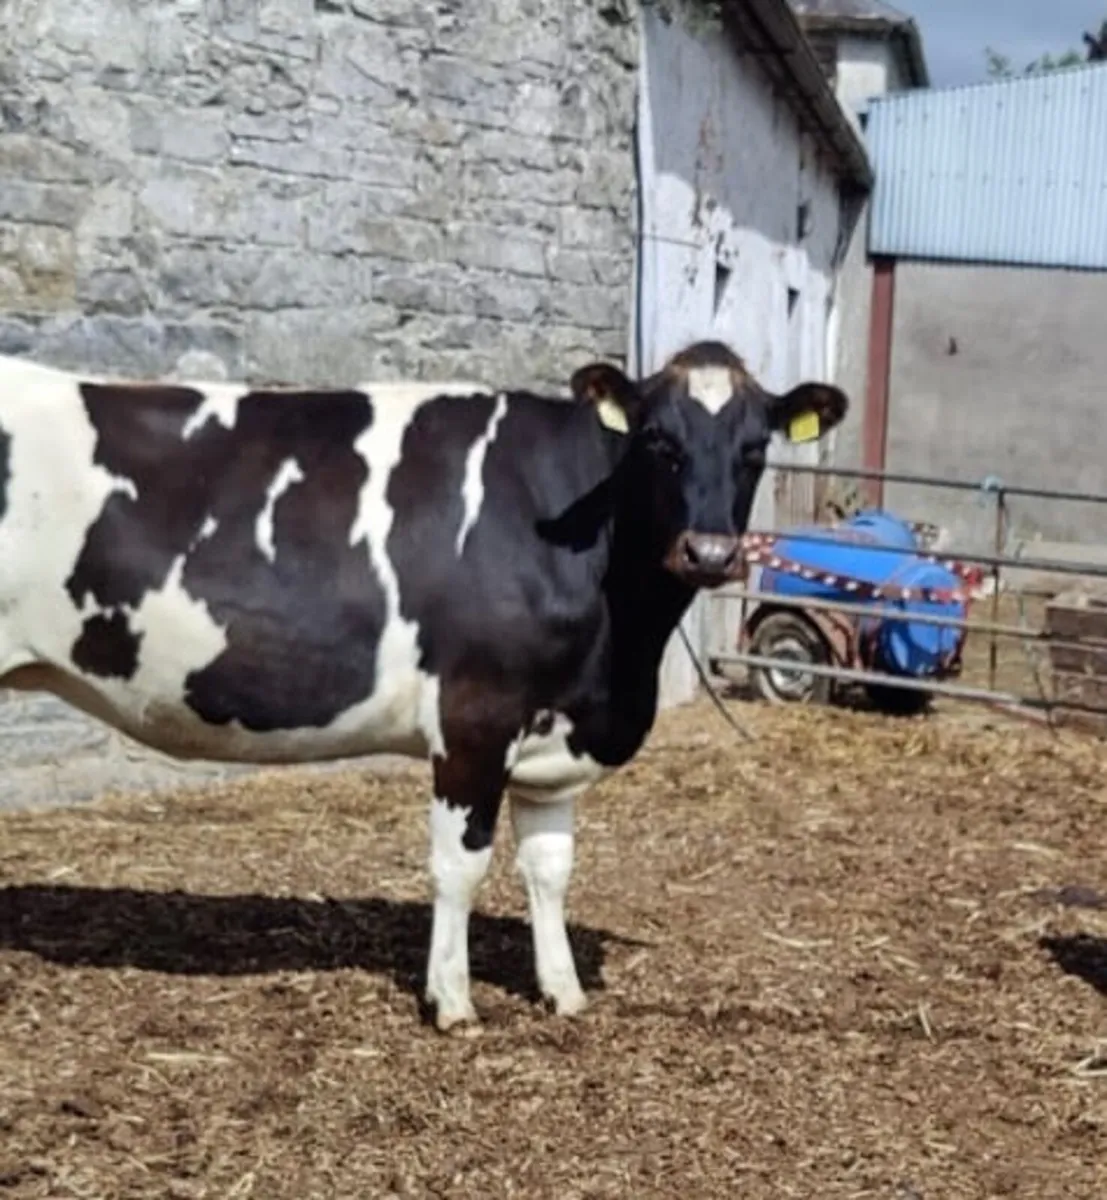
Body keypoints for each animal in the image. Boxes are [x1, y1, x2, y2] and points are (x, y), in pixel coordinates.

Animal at [0, 340, 846, 1030]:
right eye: (657, 441)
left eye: (754, 448)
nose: (709, 552)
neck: (617, 651)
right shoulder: (474, 717)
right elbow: (460, 866)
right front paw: (452, 1001)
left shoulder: (556, 734)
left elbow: (550, 869)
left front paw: (562, 991)